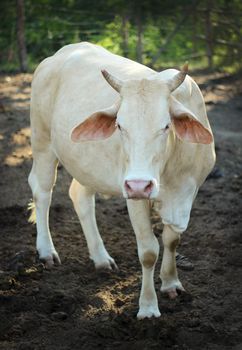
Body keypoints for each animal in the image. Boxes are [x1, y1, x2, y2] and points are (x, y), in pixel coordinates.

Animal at [27, 41, 216, 320]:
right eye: (119, 126)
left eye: (166, 126)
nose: (139, 184)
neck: (172, 171)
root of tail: (58, 55)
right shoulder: (135, 196)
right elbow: (148, 251)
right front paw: (148, 307)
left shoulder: (189, 192)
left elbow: (172, 240)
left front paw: (171, 283)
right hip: (42, 142)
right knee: (42, 191)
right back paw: (47, 251)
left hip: (87, 164)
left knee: (80, 196)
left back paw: (101, 258)